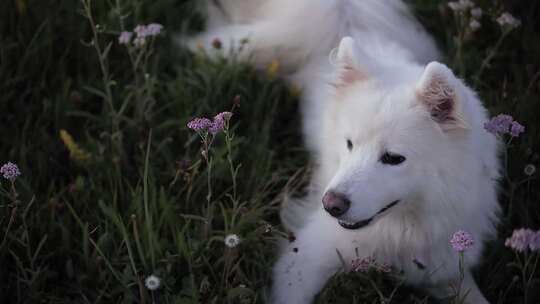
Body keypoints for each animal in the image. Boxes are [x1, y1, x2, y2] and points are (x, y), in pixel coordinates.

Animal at [188, 1, 500, 302]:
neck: (403, 228)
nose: (330, 205)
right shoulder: (303, 258)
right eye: (349, 144)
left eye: (393, 158)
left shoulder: (445, 268)